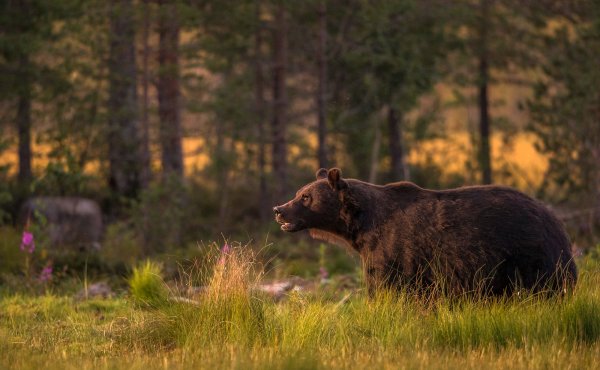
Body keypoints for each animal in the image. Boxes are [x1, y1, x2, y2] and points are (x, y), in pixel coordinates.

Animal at [276, 169, 576, 296]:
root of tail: (554, 218)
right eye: (298, 193)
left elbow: (389, 287)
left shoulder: (393, 250)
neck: (359, 228)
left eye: (305, 197)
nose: (279, 209)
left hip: (528, 254)